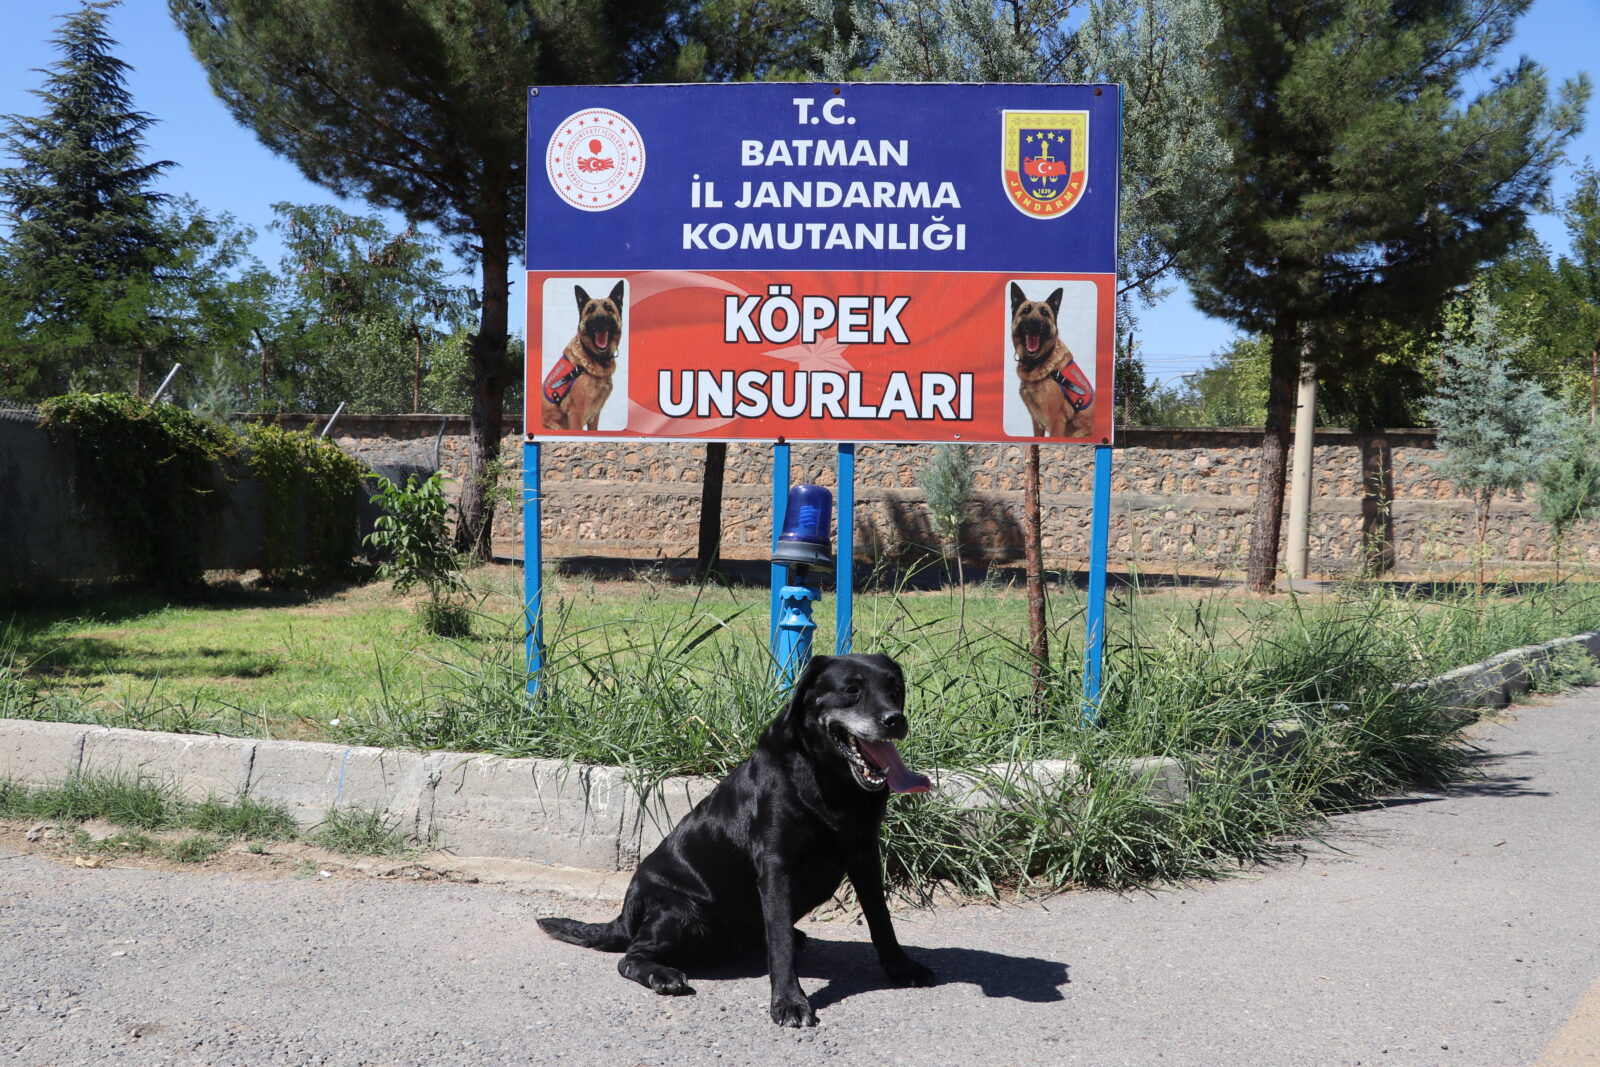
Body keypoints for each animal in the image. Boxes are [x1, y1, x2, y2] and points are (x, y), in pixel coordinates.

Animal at [537, 655, 934, 1030]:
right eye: (852, 690)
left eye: (895, 689)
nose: (895, 720)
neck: (830, 781)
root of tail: (626, 912)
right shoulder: (775, 867)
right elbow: (780, 944)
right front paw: (789, 1002)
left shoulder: (865, 855)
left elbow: (881, 919)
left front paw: (901, 966)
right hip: (686, 915)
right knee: (631, 955)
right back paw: (662, 974)